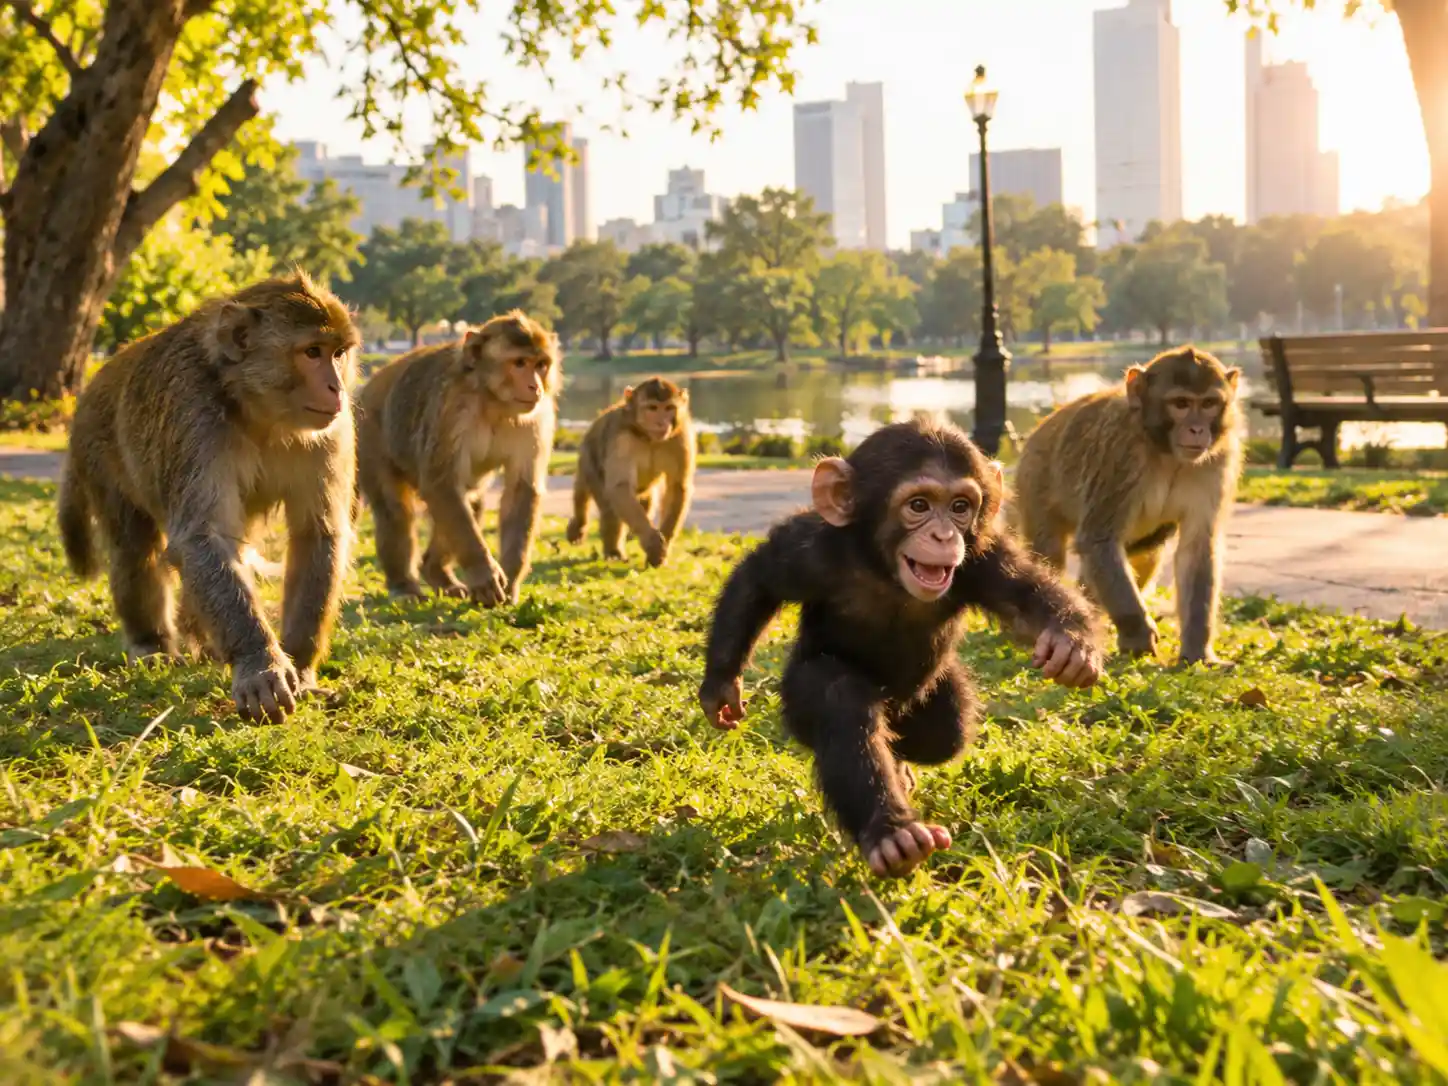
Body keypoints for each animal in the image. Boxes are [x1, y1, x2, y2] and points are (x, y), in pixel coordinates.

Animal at [57, 271, 361, 724]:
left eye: (338, 354)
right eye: (312, 352)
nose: (336, 387)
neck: (256, 410)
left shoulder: (331, 432)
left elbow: (315, 533)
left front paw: (301, 665)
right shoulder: (192, 414)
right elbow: (203, 537)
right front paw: (260, 662)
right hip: (98, 453)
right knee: (135, 547)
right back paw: (150, 643)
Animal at [355, 311, 560, 605]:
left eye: (541, 364)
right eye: (520, 363)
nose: (535, 386)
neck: (492, 400)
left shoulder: (537, 417)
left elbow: (521, 488)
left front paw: (510, 580)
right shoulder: (451, 407)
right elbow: (440, 483)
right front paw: (484, 573)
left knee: (470, 496)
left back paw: (436, 571)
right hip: (368, 432)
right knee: (395, 508)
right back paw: (404, 586)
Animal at [565, 377, 696, 567]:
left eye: (669, 408)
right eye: (652, 408)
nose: (661, 423)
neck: (648, 438)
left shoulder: (681, 436)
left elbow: (677, 486)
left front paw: (663, 544)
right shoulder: (622, 439)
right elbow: (620, 486)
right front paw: (653, 543)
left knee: (646, 501)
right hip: (588, 459)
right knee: (604, 503)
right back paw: (610, 549)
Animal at [696, 419, 1103, 879]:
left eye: (960, 506)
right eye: (919, 505)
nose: (943, 534)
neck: (885, 572)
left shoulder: (984, 558)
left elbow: (1026, 591)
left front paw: (1072, 645)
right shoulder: (810, 551)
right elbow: (758, 581)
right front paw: (721, 686)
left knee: (945, 733)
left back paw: (903, 770)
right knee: (838, 696)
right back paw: (894, 835)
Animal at [1010, 345, 1243, 666]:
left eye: (1209, 403)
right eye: (1181, 403)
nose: (1197, 429)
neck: (1164, 451)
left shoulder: (1218, 460)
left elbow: (1197, 548)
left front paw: (1198, 652)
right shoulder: (1118, 452)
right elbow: (1099, 539)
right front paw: (1137, 633)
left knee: (1147, 552)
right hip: (1033, 479)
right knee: (1050, 551)